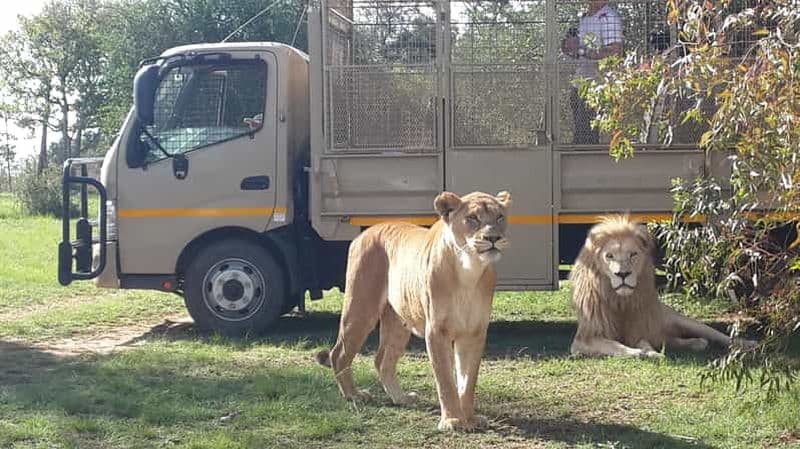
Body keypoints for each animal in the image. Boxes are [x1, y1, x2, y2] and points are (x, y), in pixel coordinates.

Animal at [316, 190, 512, 432]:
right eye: (472, 218)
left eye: (500, 217)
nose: (493, 238)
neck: (469, 268)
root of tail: (366, 233)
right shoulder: (436, 331)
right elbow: (446, 380)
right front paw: (452, 420)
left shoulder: (474, 332)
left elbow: (467, 380)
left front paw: (470, 419)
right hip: (361, 308)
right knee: (339, 353)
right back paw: (354, 395)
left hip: (398, 323)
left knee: (382, 360)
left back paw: (400, 398)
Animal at [569, 215, 755, 358]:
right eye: (609, 256)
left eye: (633, 254)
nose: (623, 274)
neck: (620, 300)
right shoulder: (584, 339)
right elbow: (617, 345)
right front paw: (644, 353)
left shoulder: (640, 327)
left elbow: (641, 342)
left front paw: (649, 352)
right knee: (674, 340)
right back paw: (696, 343)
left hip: (681, 320)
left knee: (718, 335)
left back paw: (748, 343)